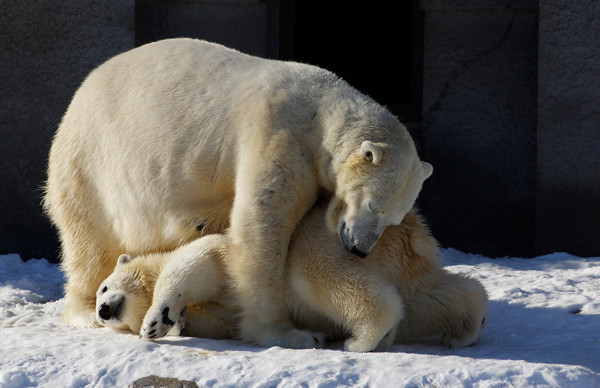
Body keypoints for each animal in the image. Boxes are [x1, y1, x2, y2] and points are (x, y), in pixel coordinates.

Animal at [45, 38, 432, 348]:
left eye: (394, 218)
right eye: (373, 205)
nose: (359, 249)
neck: (322, 114)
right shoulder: (278, 137)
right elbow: (260, 228)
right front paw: (290, 334)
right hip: (90, 163)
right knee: (88, 238)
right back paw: (86, 309)